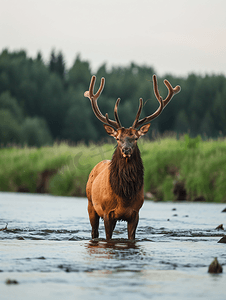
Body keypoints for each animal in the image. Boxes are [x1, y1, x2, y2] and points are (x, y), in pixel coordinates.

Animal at [84, 74, 181, 239]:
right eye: (117, 138)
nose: (126, 149)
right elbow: (108, 238)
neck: (125, 196)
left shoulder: (135, 213)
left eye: (135, 138)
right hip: (91, 204)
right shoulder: (107, 212)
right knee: (94, 232)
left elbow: (131, 237)